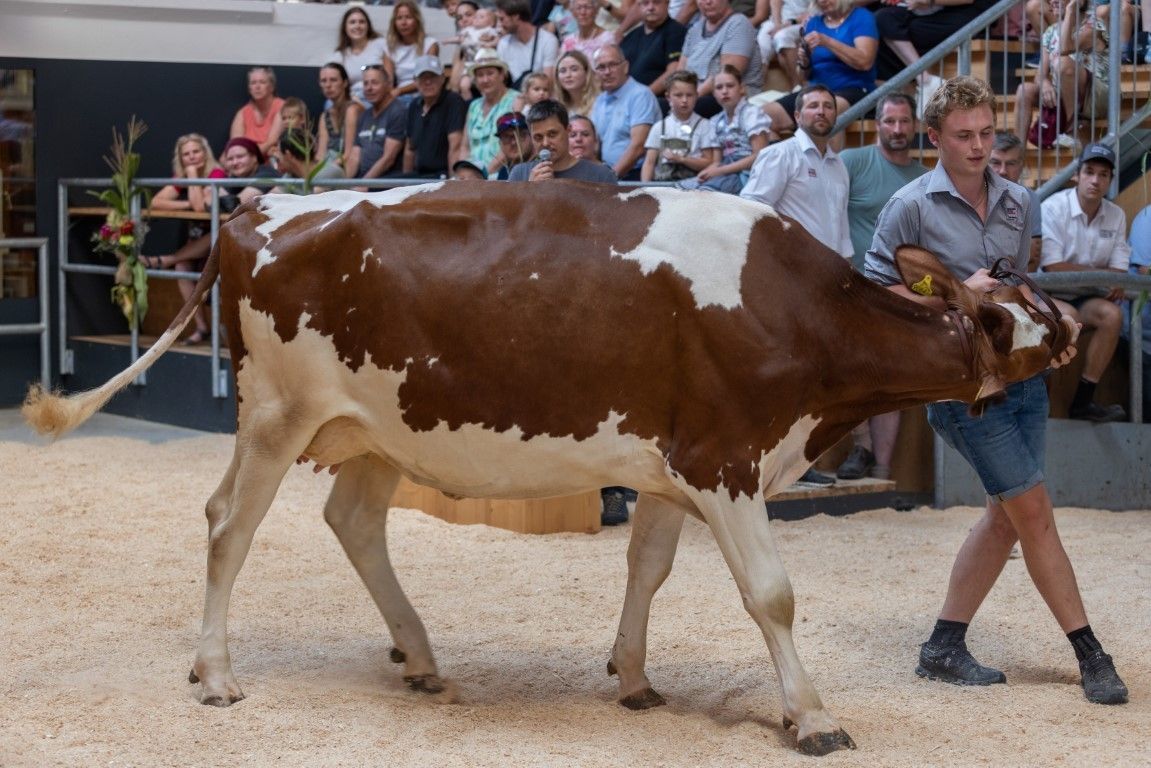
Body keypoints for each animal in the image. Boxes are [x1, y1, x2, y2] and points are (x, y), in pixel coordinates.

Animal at [22, 183, 1072, 755]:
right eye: (1012, 314)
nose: (1068, 326)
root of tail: (259, 208)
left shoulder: (674, 465)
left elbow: (647, 566)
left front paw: (633, 676)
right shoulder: (724, 460)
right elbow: (770, 595)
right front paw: (810, 717)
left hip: (379, 430)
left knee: (353, 524)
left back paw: (422, 658)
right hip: (277, 417)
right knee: (226, 524)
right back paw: (215, 674)